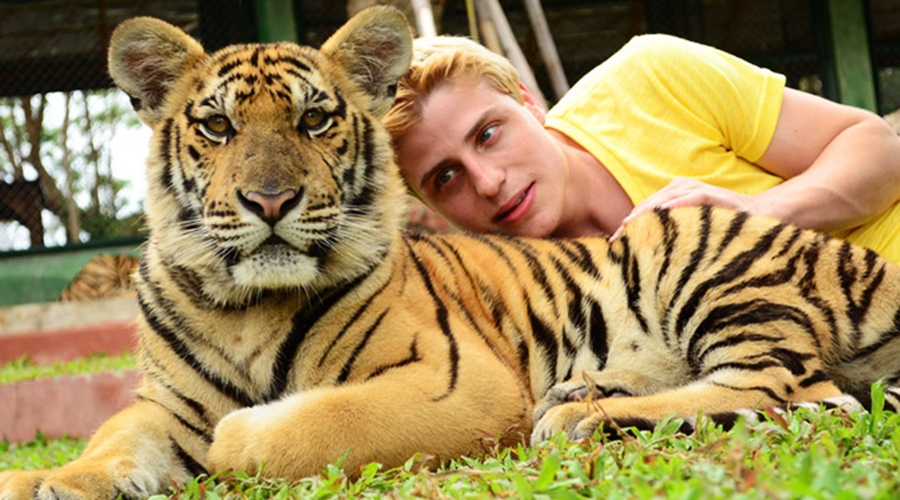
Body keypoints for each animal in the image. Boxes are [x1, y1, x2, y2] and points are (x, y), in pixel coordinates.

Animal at [2, 6, 899, 499]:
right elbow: (109, 441)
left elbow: (306, 425)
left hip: (688, 250)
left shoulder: (454, 382)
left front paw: (241, 439)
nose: (269, 202)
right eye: (217, 126)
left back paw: (579, 415)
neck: (244, 305)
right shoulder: (166, 405)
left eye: (314, 120)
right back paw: (587, 392)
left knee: (794, 393)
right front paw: (42, 480)